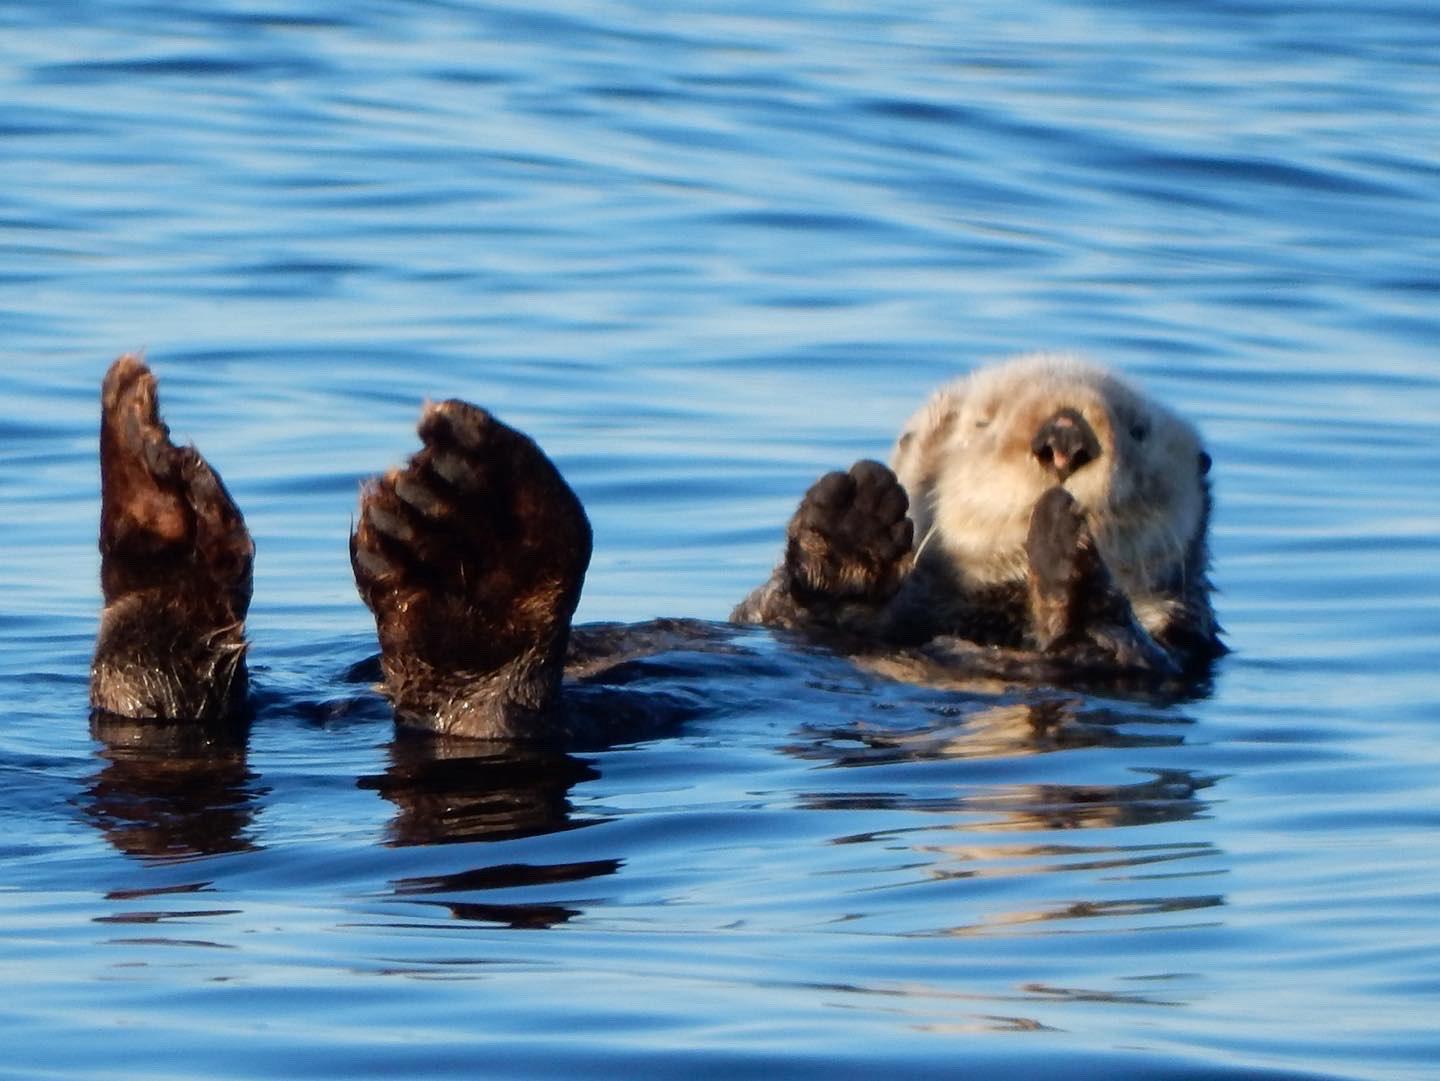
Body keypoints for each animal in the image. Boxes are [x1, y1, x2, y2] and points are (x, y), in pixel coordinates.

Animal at [90, 353, 1221, 739]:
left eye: (1139, 430)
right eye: (984, 423)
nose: (1065, 439)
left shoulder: (1171, 656)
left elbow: (1119, 646)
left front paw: (1066, 545)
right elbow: (784, 607)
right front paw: (853, 514)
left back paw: (473, 558)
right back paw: (160, 510)